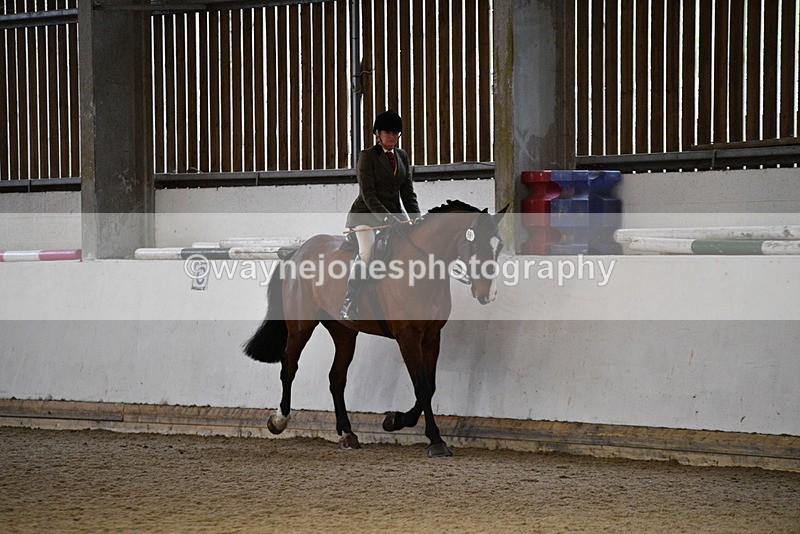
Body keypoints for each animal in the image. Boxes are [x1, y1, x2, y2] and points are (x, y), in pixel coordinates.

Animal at [244, 200, 509, 457]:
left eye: (498, 247)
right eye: (477, 246)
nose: (488, 294)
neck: (420, 269)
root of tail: (298, 252)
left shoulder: (432, 336)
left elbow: (430, 386)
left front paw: (395, 420)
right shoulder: (407, 336)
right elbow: (422, 387)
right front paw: (435, 440)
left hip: (344, 332)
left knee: (336, 377)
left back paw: (347, 434)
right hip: (301, 325)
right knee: (289, 365)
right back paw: (278, 421)